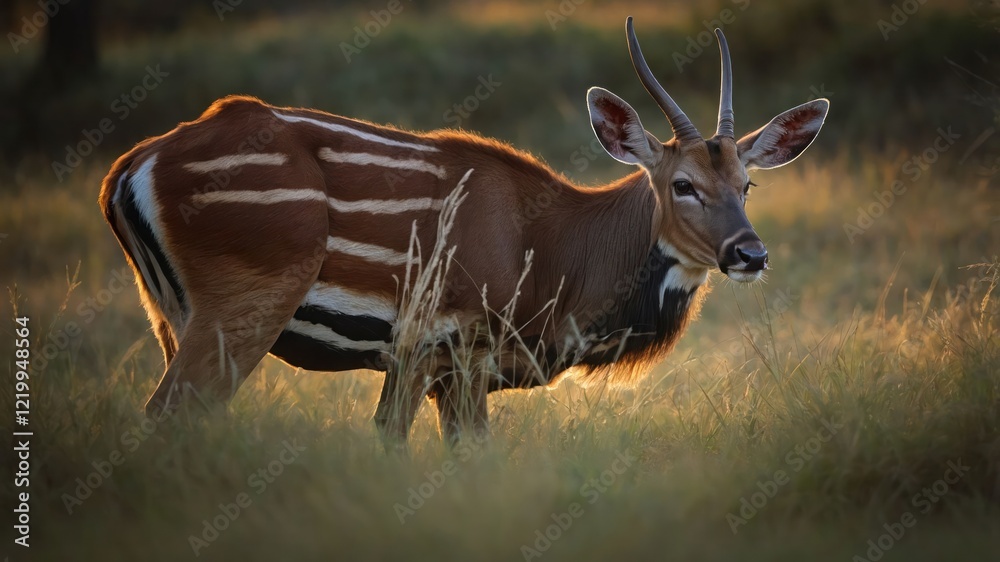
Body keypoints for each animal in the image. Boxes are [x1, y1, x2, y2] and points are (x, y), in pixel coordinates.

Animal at [99, 18, 828, 448]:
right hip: (241, 309)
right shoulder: (456, 349)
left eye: (747, 184)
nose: (749, 253)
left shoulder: (425, 366)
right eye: (682, 184)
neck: (557, 256)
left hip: (169, 314)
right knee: (168, 413)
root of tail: (129, 169)